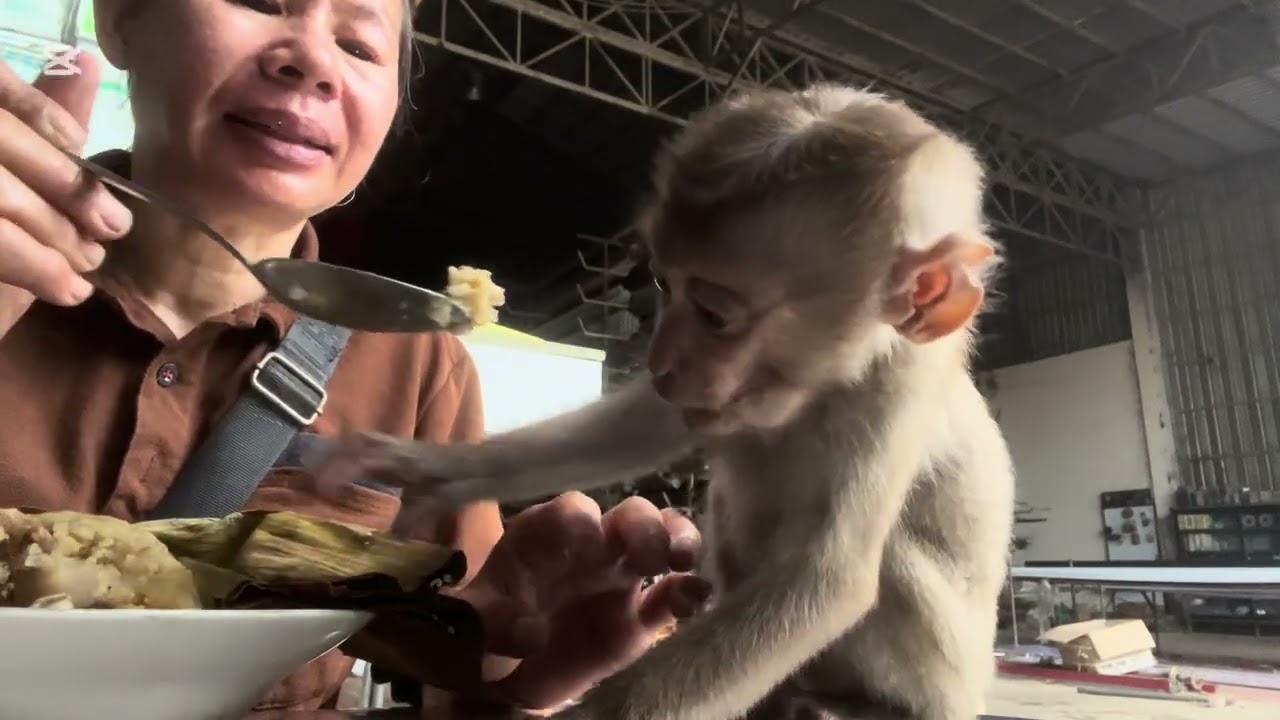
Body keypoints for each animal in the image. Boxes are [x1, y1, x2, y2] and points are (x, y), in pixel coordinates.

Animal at [312, 83, 1016, 720]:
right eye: (661, 283)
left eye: (713, 315)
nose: (661, 361)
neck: (813, 391)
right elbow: (646, 424)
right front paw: (428, 468)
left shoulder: (895, 394)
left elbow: (824, 578)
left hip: (940, 675)